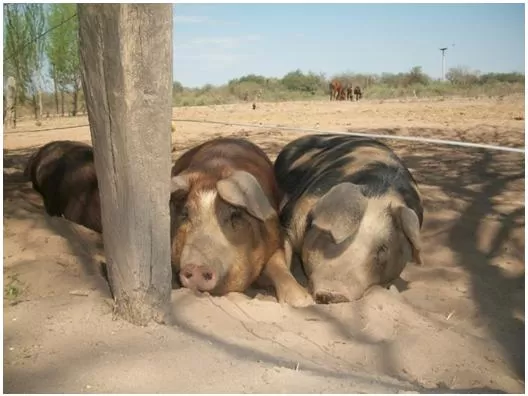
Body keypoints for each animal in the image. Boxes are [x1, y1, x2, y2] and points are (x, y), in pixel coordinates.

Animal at [171, 136, 316, 306]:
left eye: (235, 214)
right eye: (185, 214)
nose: (196, 267)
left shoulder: (277, 235)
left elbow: (278, 263)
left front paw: (303, 302)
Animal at [274, 133, 422, 304]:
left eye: (382, 249)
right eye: (330, 237)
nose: (334, 293)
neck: (380, 194)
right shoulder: (290, 217)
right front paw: (300, 301)